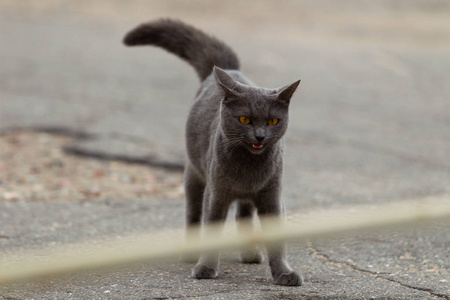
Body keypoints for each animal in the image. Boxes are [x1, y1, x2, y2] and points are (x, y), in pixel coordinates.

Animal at [122, 18, 302, 286]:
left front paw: (284, 273)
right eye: (245, 119)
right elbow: (211, 227)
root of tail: (228, 70)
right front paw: (205, 267)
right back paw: (190, 254)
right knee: (193, 215)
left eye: (273, 121)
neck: (249, 168)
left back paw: (249, 254)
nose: (260, 136)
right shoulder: (216, 193)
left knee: (243, 215)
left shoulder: (273, 195)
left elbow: (276, 240)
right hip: (194, 175)